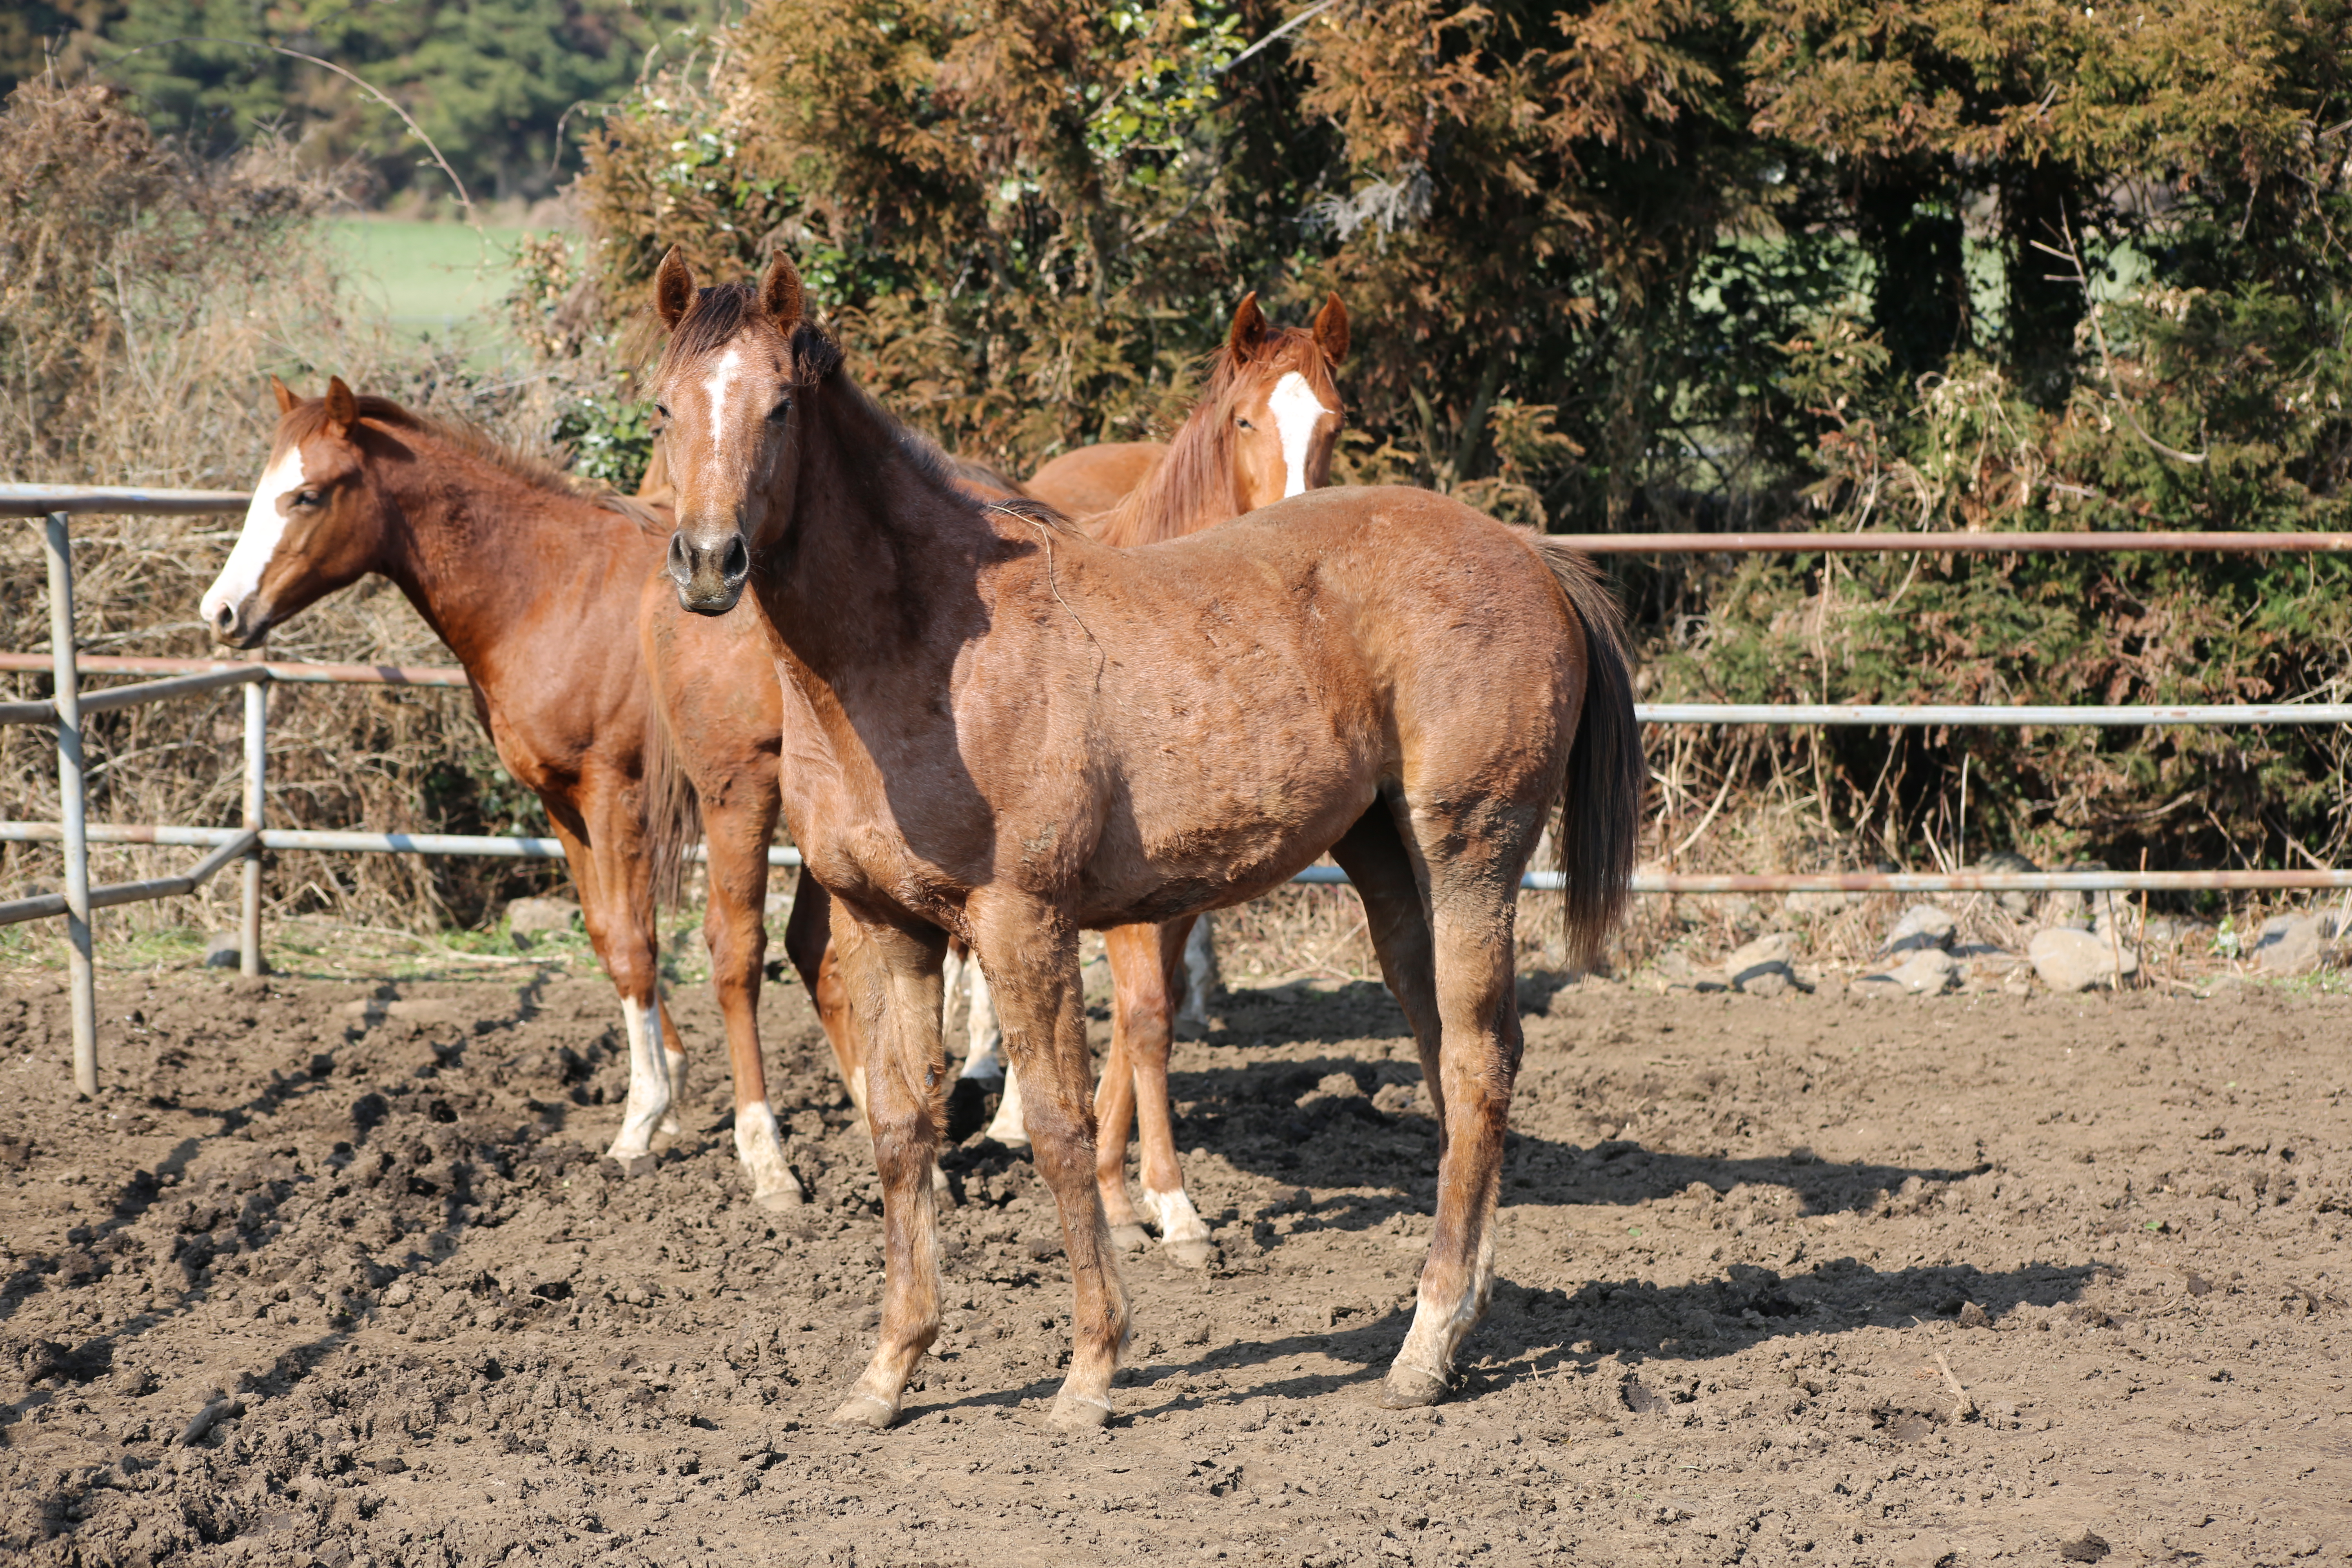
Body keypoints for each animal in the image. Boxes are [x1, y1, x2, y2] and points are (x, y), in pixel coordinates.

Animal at [644, 255, 1637, 1439]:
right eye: (663, 409)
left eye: (780, 409)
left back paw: (1425, 1349)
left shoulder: (1022, 921)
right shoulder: (889, 927)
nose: (709, 562)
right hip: (1388, 865)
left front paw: (1091, 1368)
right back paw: (1462, 1314)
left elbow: (1060, 1125)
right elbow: (901, 1125)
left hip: (1470, 852)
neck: (918, 651)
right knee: (1450, 1062)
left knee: (1481, 1066)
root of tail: (1529, 553)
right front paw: (887, 1373)